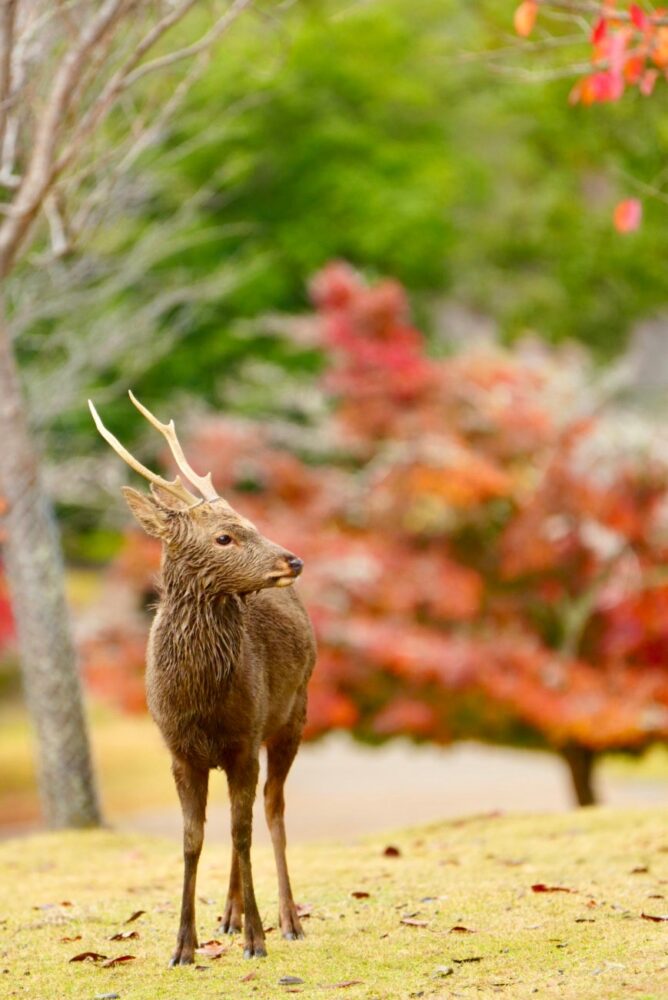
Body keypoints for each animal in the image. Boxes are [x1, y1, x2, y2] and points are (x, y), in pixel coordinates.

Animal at [89, 392, 316, 966]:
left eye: (251, 521)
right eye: (225, 536)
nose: (294, 560)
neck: (200, 700)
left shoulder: (243, 740)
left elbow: (242, 832)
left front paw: (258, 939)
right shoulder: (181, 751)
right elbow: (193, 839)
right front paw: (184, 946)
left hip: (293, 715)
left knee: (272, 810)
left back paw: (287, 920)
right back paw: (229, 916)